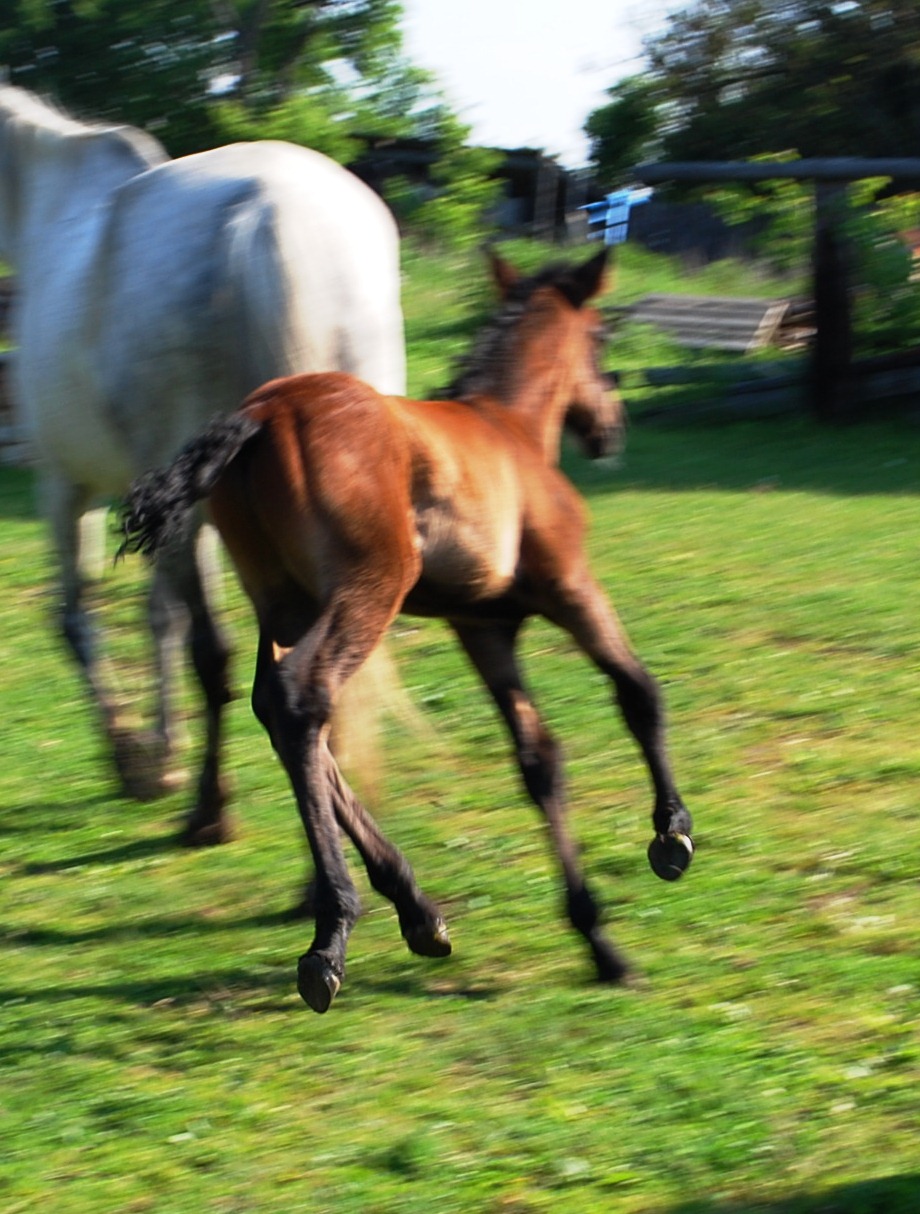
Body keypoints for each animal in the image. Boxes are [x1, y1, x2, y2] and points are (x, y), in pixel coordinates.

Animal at [0, 85, 405, 844]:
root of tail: (276, 217)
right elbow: (161, 615)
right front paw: (163, 752)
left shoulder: (67, 488)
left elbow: (78, 619)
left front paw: (135, 763)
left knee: (217, 654)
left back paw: (211, 813)